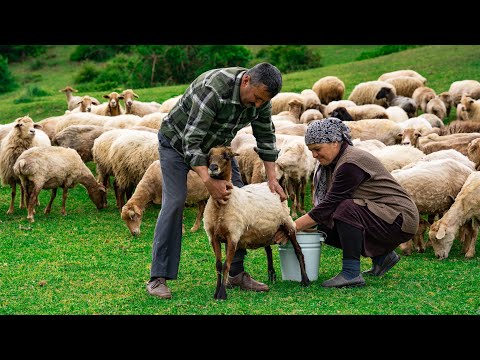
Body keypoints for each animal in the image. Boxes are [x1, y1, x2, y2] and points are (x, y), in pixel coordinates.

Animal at [202, 146, 308, 300]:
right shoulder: (213, 236)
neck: (220, 209)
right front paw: (216, 292)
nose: (213, 168)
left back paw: (305, 280)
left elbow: (227, 265)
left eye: (226, 156)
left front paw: (222, 293)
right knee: (268, 250)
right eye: (209, 156)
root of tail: (273, 184)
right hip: (265, 231)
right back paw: (271, 275)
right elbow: (218, 265)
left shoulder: (233, 236)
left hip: (287, 222)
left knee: (298, 250)